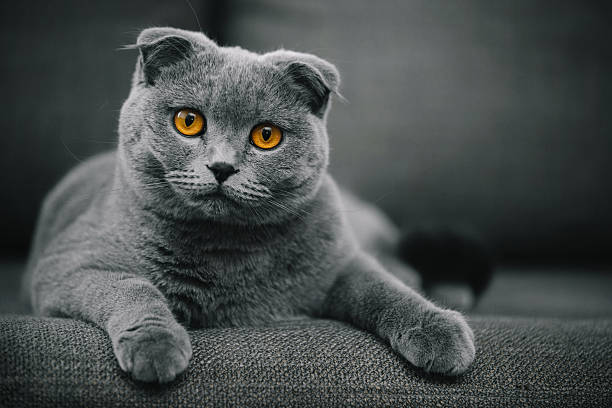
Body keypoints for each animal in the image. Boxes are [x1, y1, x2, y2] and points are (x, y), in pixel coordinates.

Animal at [22, 27, 474, 382]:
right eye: (188, 121)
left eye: (266, 136)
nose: (222, 166)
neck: (227, 252)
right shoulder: (67, 264)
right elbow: (132, 287)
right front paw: (157, 345)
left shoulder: (340, 262)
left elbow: (384, 288)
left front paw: (440, 331)